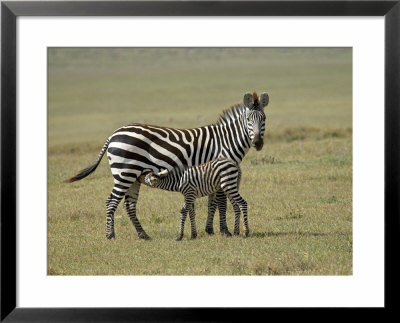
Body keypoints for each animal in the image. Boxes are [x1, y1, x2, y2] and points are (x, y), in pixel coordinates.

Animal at [65, 91, 268, 240]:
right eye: (248, 120)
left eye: (264, 119)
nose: (258, 143)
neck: (225, 141)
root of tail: (113, 134)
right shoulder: (218, 167)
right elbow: (220, 202)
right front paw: (224, 231)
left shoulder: (212, 173)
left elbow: (212, 202)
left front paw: (210, 229)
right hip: (124, 173)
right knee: (111, 201)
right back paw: (111, 235)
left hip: (134, 177)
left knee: (129, 205)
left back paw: (143, 235)